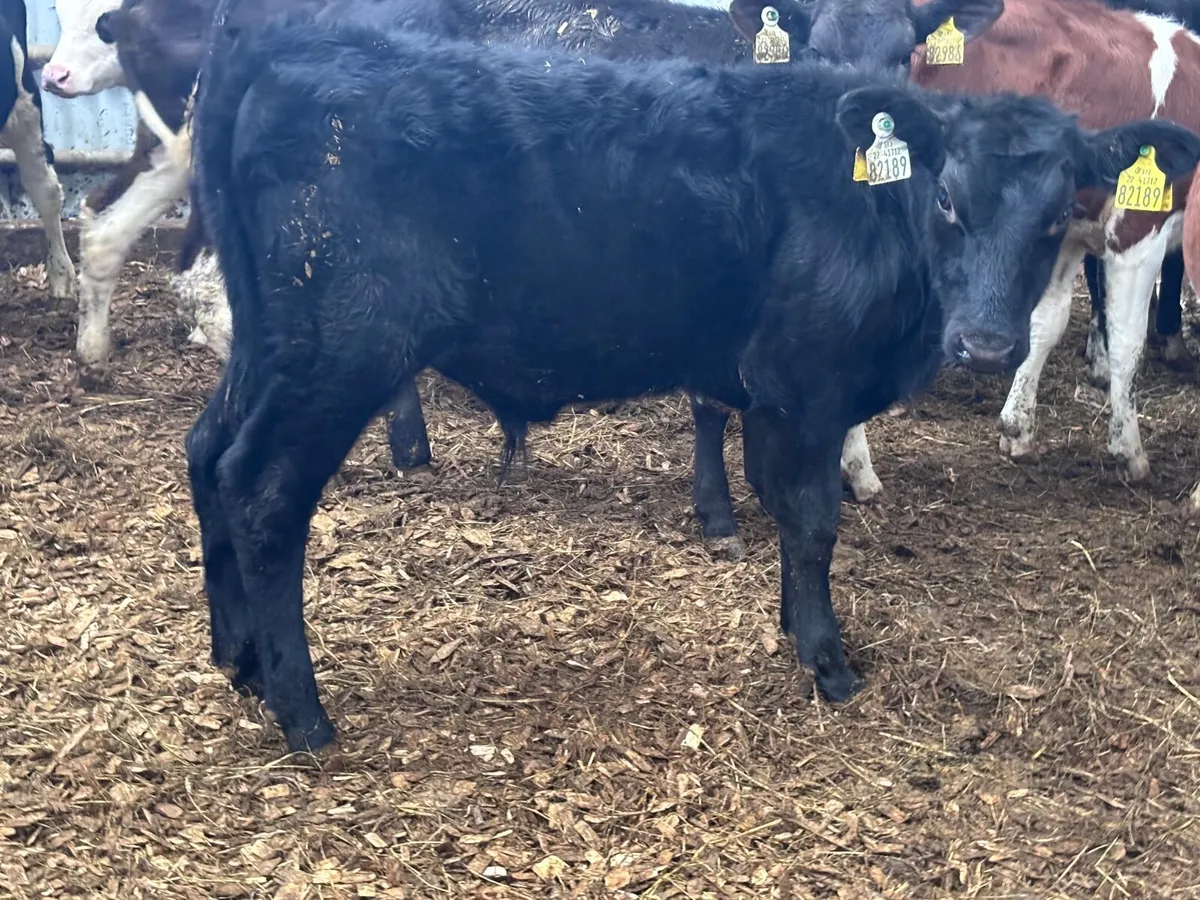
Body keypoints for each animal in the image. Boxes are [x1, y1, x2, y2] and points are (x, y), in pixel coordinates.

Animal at [182, 12, 1200, 752]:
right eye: (947, 198)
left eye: (1056, 214)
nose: (986, 345)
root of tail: (283, 43)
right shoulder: (806, 385)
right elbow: (812, 519)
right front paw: (828, 661)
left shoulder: (772, 391)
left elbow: (783, 512)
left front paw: (792, 626)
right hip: (339, 352)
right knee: (262, 491)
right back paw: (301, 709)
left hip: (271, 344)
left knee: (205, 453)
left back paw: (238, 659)